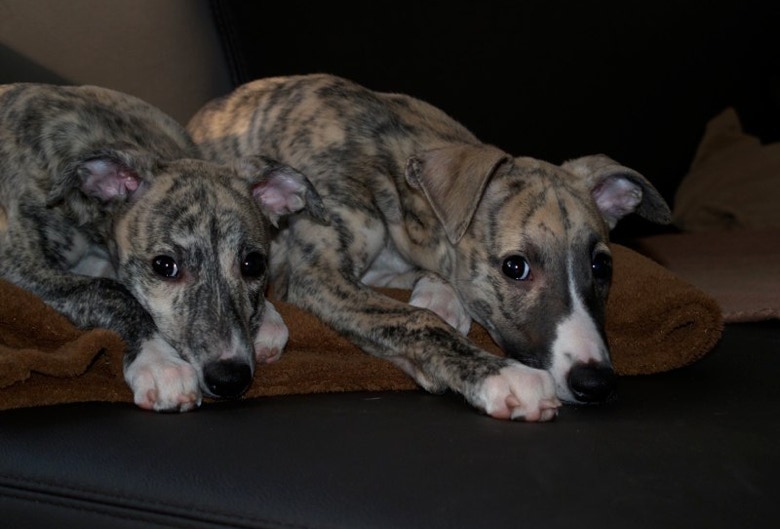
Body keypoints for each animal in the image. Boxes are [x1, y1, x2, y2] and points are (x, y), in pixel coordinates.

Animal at [0, 83, 326, 412]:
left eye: (254, 264)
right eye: (164, 266)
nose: (229, 379)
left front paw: (268, 318)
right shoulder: (17, 265)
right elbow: (108, 290)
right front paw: (159, 362)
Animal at [187, 73, 671, 421]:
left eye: (601, 266)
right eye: (515, 267)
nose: (596, 383)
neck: (391, 162)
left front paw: (441, 296)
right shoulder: (315, 271)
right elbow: (413, 320)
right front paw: (503, 376)